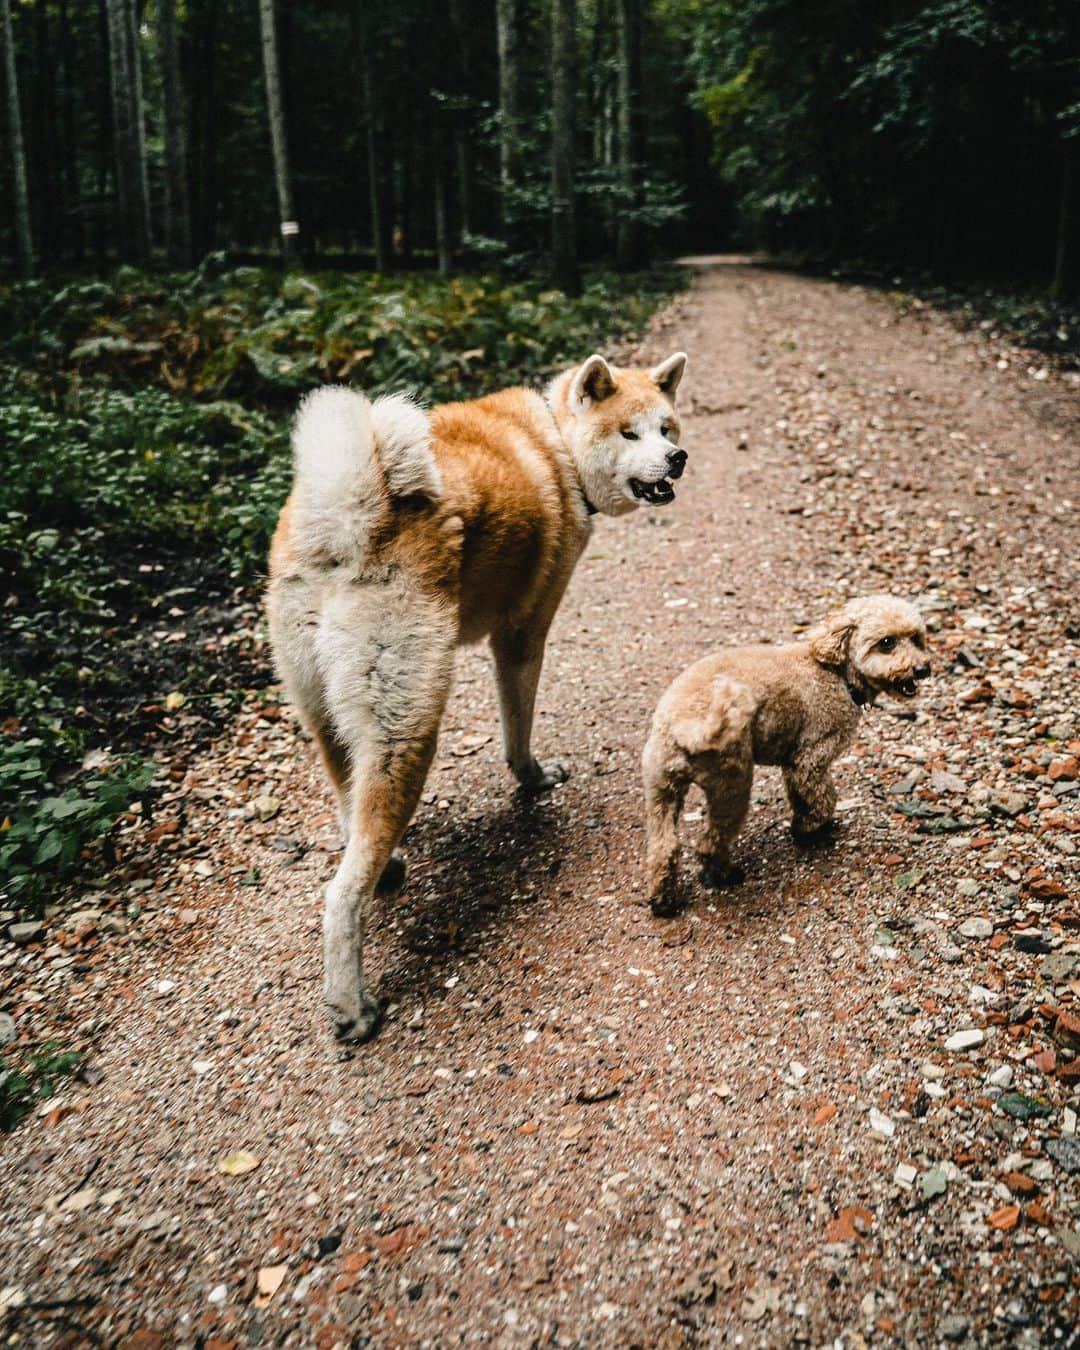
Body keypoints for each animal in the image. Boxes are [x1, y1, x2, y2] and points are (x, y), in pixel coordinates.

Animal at [267, 351, 688, 1042]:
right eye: (630, 434)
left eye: (667, 428)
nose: (676, 458)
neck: (554, 445)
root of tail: (346, 521)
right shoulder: (521, 638)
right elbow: (518, 731)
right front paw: (533, 779)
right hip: (407, 732)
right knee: (340, 895)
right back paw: (353, 1005)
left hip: (326, 716)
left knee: (350, 812)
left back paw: (388, 867)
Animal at [642, 596, 928, 912]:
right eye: (887, 642)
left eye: (917, 638)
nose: (922, 669)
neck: (835, 672)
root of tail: (685, 725)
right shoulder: (810, 758)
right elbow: (824, 799)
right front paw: (812, 830)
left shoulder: (793, 764)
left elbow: (800, 797)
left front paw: (803, 824)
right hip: (731, 784)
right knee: (709, 843)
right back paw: (724, 875)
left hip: (661, 787)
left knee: (664, 848)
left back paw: (663, 901)